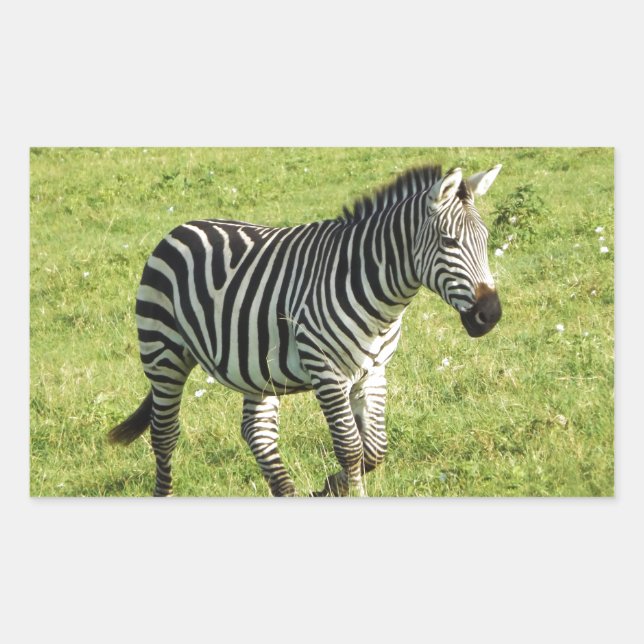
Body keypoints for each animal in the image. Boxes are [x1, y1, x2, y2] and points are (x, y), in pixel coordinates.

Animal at [108, 163, 503, 496]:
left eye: (485, 239)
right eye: (449, 242)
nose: (491, 314)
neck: (374, 290)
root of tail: (181, 227)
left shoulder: (374, 371)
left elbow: (374, 448)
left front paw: (330, 486)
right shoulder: (326, 371)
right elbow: (350, 447)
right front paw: (346, 489)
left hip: (256, 367)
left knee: (257, 432)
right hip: (163, 354)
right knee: (164, 434)